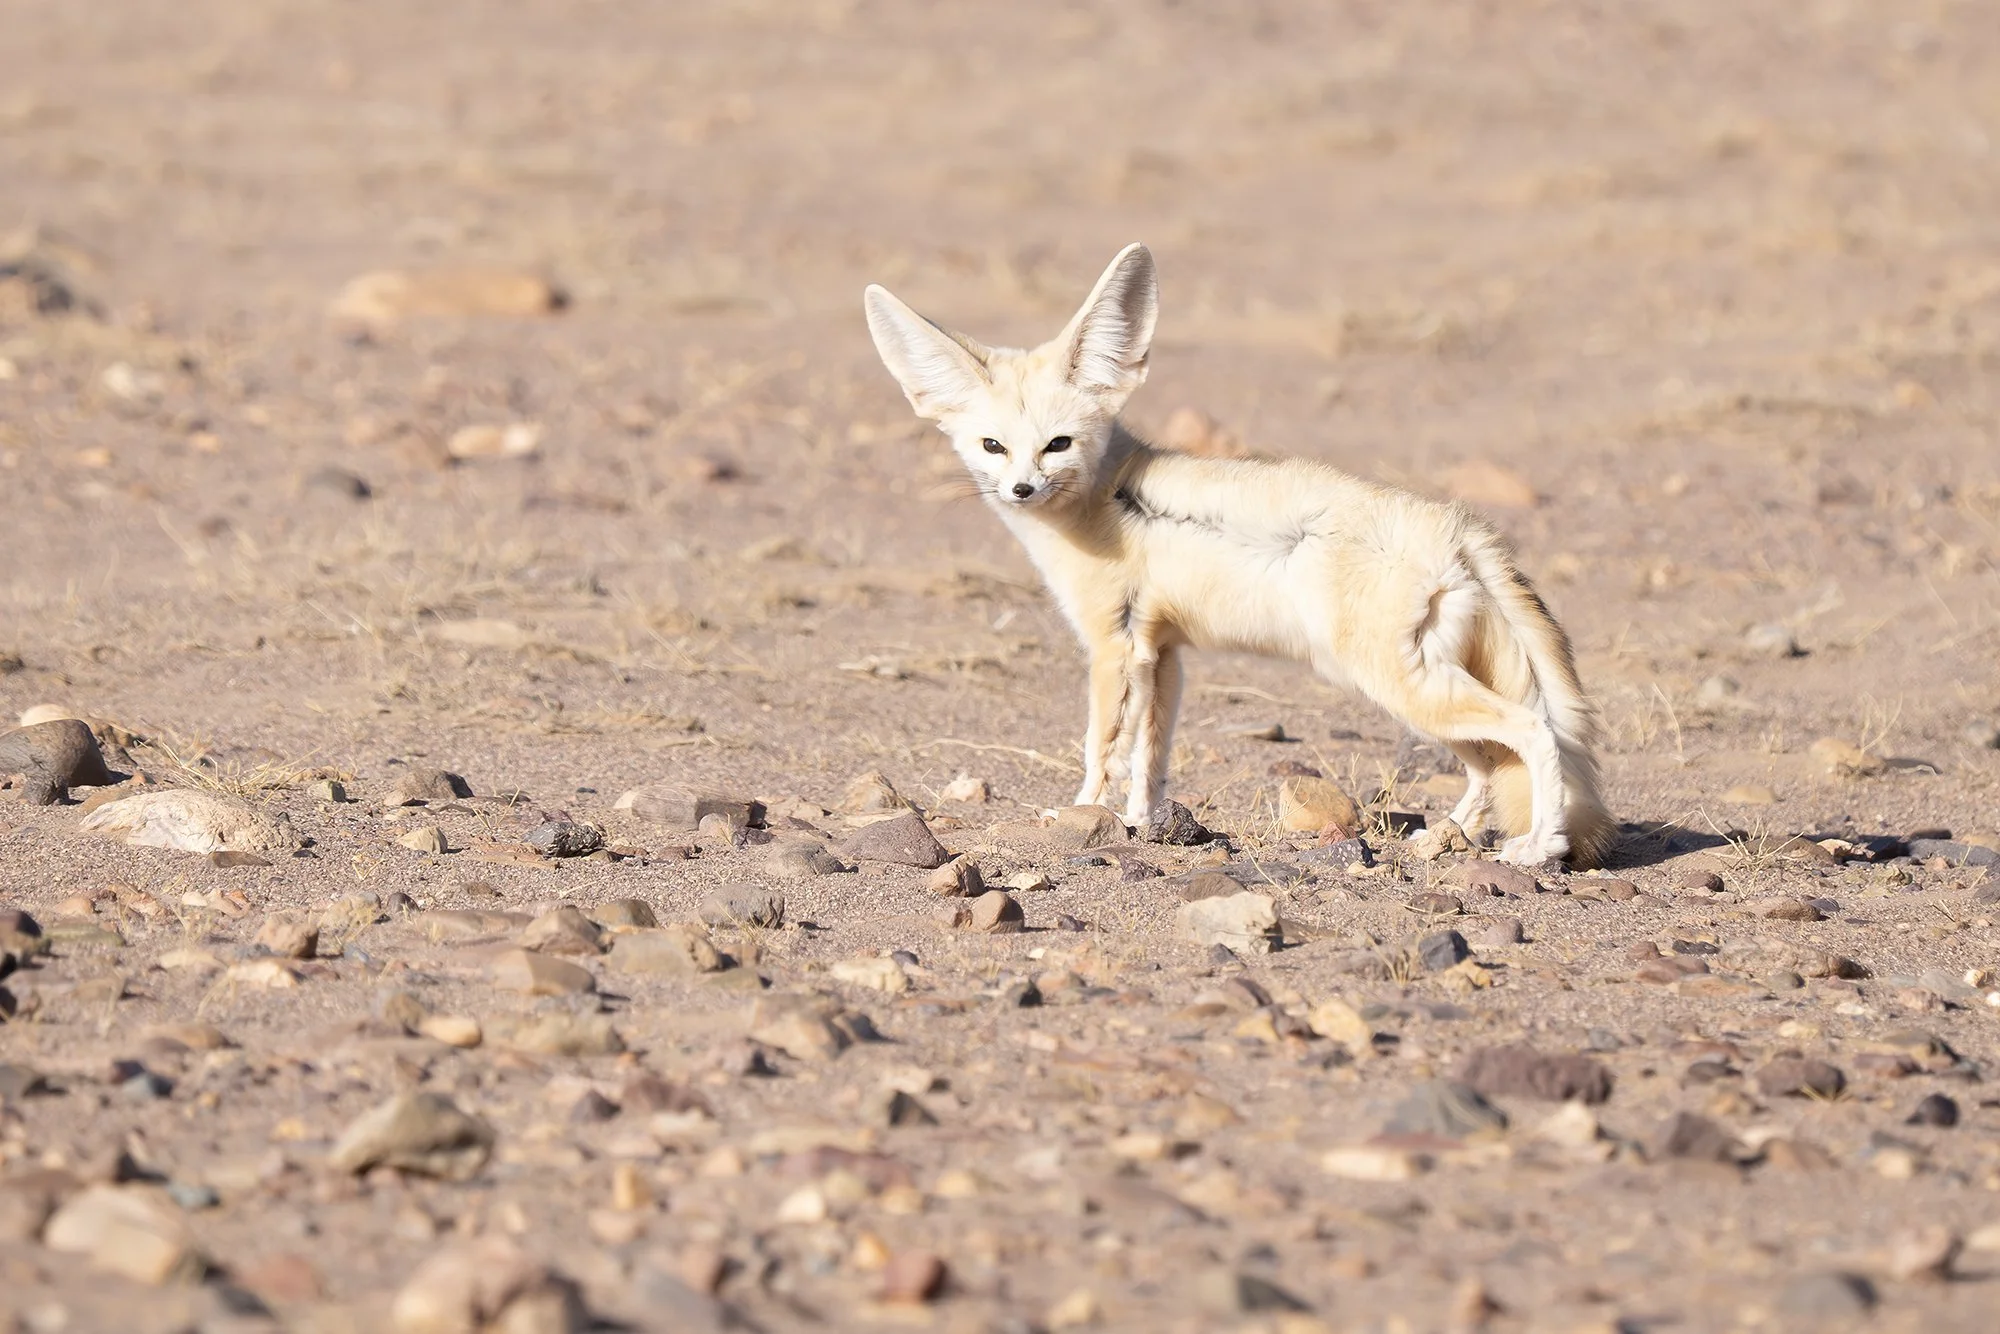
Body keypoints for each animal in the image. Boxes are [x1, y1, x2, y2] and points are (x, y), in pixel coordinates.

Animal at [862, 244, 1617, 868]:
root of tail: (1458, 527)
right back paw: (1450, 836)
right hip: (1420, 691)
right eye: (992, 446)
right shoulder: (1163, 653)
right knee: (1492, 763)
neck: (1103, 495)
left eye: (1057, 445)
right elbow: (1151, 758)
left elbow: (1102, 751)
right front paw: (1142, 825)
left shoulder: (1114, 647)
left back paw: (1540, 846)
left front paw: (1081, 816)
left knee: (1535, 730)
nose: (1021, 489)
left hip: (1402, 686)